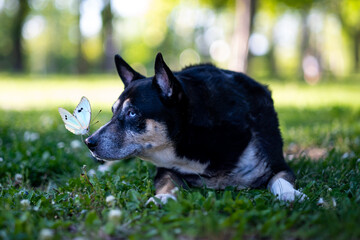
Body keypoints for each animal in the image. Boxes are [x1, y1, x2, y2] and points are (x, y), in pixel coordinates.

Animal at [85, 52, 306, 204]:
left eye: (132, 113)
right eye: (113, 111)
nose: (89, 142)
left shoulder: (278, 164)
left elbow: (280, 179)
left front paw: (290, 193)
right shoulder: (165, 169)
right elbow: (168, 181)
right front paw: (163, 198)